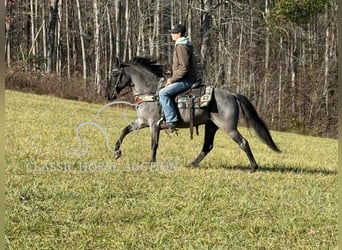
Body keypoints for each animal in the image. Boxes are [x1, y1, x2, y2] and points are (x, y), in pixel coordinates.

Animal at [107, 56, 280, 172]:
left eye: (115, 74)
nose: (109, 94)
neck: (150, 92)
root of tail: (232, 95)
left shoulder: (153, 124)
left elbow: (154, 144)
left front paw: (151, 162)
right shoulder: (142, 122)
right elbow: (124, 130)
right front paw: (116, 152)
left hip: (229, 128)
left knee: (243, 142)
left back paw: (253, 167)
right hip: (211, 126)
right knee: (207, 147)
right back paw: (192, 164)